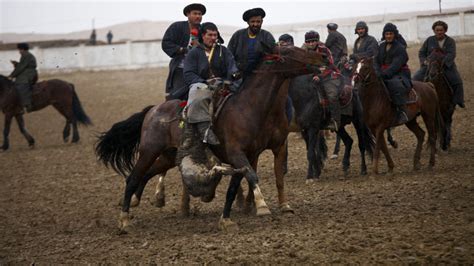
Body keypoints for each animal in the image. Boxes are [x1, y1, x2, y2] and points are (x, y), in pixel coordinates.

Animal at [96, 44, 326, 232]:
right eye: (288, 51)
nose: (321, 56)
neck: (250, 107)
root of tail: (152, 110)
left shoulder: (254, 154)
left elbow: (239, 186)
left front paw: (227, 219)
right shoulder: (237, 154)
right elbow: (252, 176)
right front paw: (261, 206)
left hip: (168, 155)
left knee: (147, 173)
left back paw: (137, 202)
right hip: (149, 150)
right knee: (133, 177)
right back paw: (124, 220)